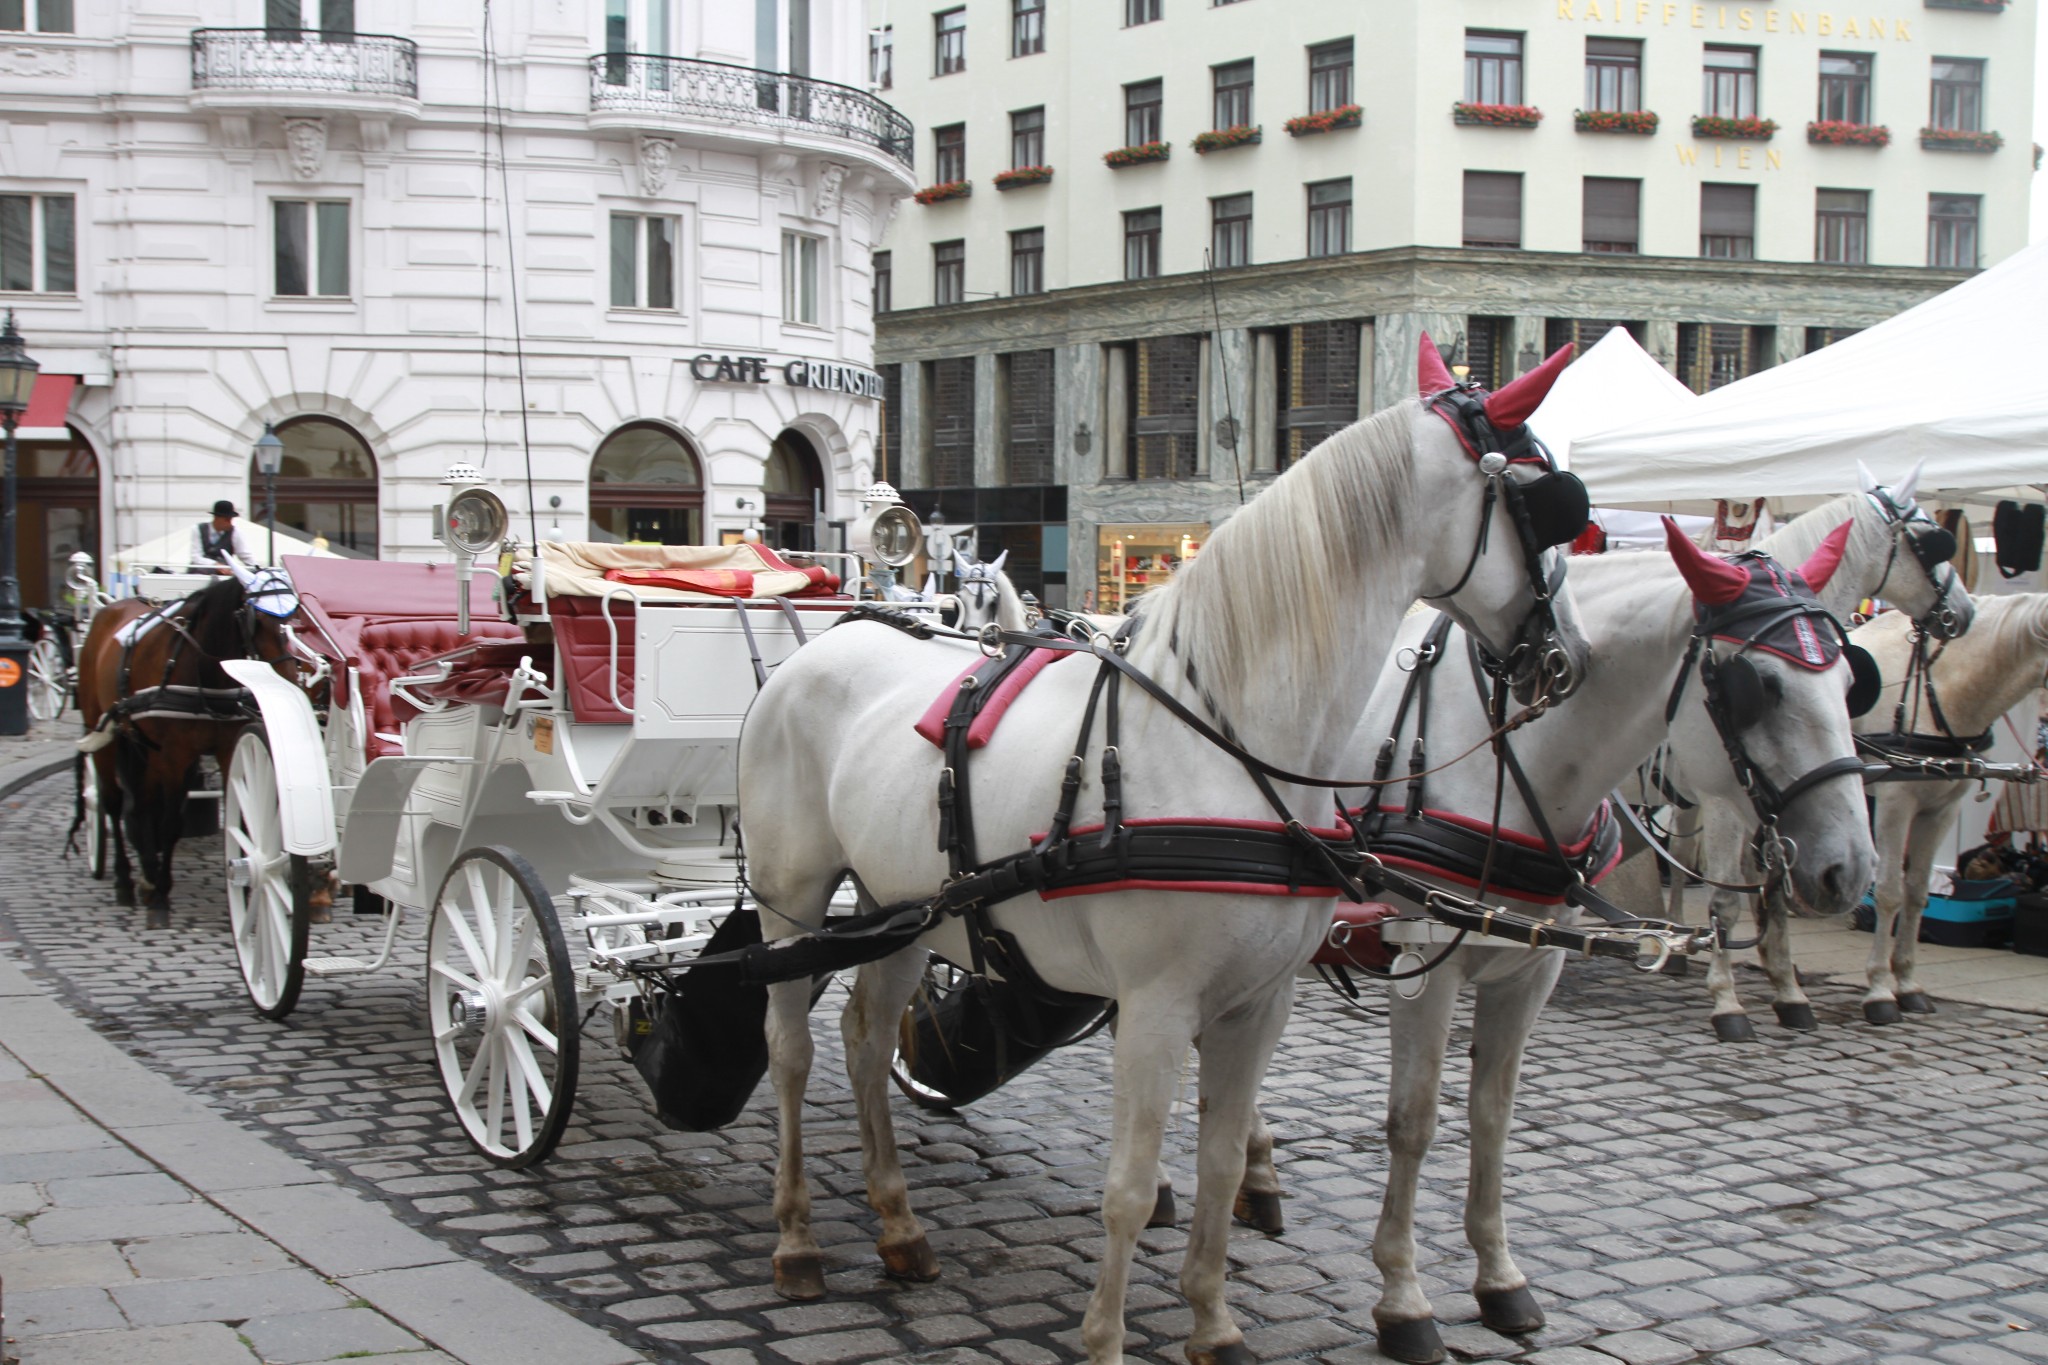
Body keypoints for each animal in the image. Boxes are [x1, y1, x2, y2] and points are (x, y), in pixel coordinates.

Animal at [71, 577, 301, 929]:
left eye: (293, 618)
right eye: (256, 620)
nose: (290, 679)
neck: (205, 674)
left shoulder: (225, 749)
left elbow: (241, 814)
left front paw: (244, 889)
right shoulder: (174, 756)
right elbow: (171, 824)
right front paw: (160, 898)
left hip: (141, 745)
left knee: (141, 803)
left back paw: (146, 874)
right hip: (103, 731)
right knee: (112, 802)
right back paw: (125, 881)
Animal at [741, 366, 1597, 1365]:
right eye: (1549, 500)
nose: (1568, 656)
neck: (1227, 737)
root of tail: (822, 645)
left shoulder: (1258, 1002)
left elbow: (1219, 1162)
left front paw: (1214, 1321)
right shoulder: (1153, 1007)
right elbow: (1127, 1180)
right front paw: (1108, 1337)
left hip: (903, 906)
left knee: (868, 1040)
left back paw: (899, 1224)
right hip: (793, 901)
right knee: (792, 1050)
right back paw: (796, 1238)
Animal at [1327, 527, 1884, 1358]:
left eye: (1851, 680)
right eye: (1759, 685)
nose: (1850, 868)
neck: (1497, 751)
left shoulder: (1533, 965)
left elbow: (1493, 1113)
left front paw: (1500, 1277)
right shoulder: (1425, 960)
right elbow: (1413, 1120)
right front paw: (1403, 1296)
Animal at [1859, 593, 2048, 1019]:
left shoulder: (1942, 809)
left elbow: (1917, 891)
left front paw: (1907, 983)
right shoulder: (1895, 802)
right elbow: (1889, 892)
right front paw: (1879, 988)